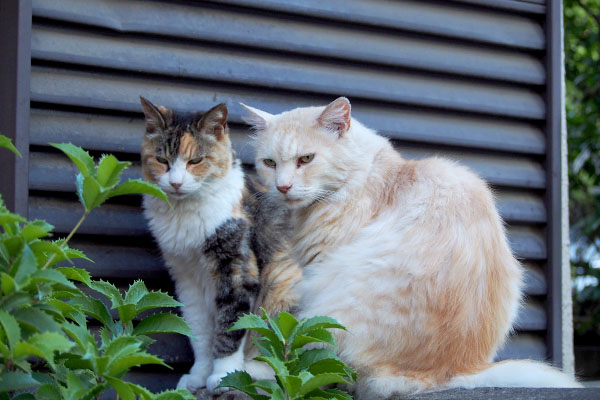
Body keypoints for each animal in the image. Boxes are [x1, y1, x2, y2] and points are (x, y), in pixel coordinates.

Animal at [139, 97, 300, 394]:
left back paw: (252, 369)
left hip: (285, 284)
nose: (176, 182)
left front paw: (224, 375)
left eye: (196, 160)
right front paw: (199, 375)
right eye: (162, 160)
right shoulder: (186, 279)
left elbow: (230, 326)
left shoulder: (236, 269)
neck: (185, 215)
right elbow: (200, 333)